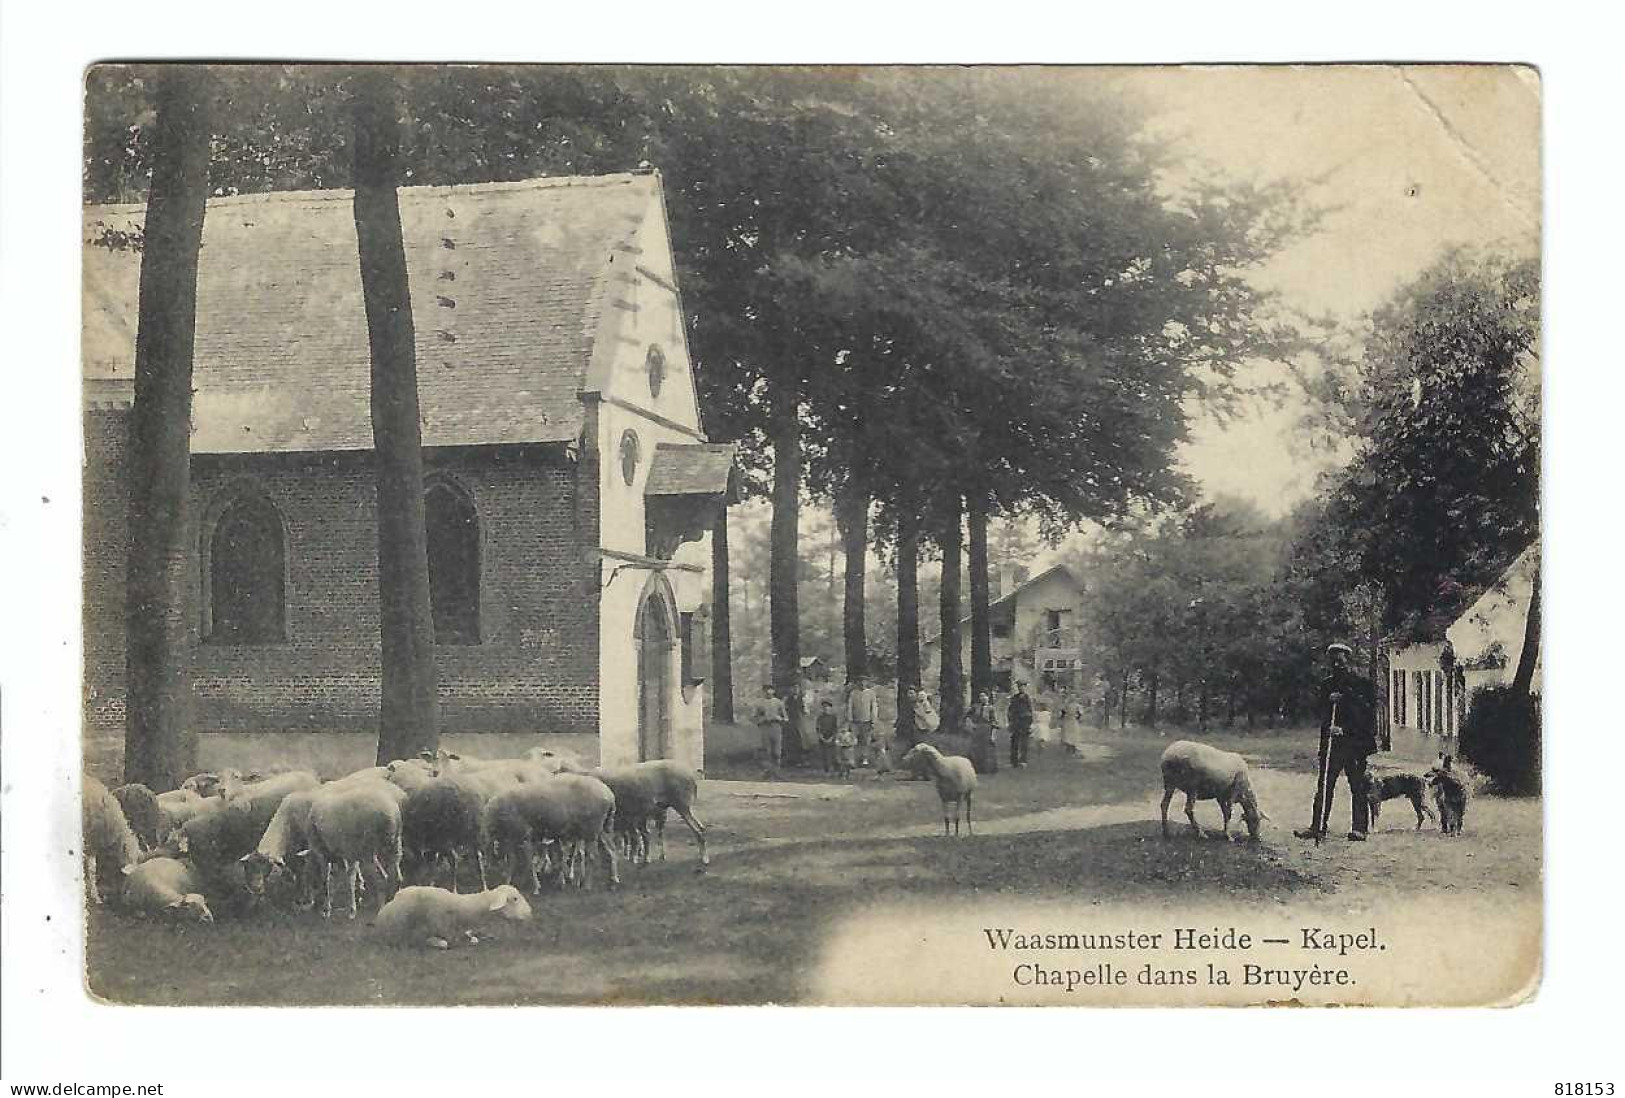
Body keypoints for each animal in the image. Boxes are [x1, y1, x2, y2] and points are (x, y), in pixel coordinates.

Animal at [305, 779, 404, 916]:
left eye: (307, 874)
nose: (310, 902)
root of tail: (391, 813)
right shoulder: (348, 854)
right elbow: (346, 876)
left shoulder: (323, 853)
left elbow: (328, 878)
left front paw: (328, 907)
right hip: (394, 844)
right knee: (396, 876)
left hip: (368, 851)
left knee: (381, 878)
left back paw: (380, 908)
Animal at [477, 773, 617, 890]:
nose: (485, 885)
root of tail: (609, 795)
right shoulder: (514, 837)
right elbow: (513, 861)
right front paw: (510, 881)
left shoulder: (523, 834)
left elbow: (527, 861)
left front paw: (534, 885)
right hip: (604, 827)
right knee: (612, 850)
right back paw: (613, 880)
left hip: (591, 830)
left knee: (592, 857)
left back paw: (587, 885)